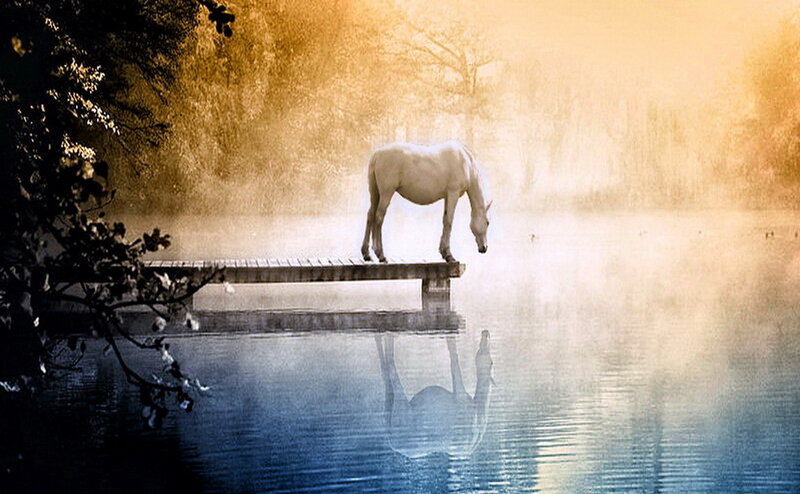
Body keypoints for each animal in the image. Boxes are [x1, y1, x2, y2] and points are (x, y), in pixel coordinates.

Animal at [360, 141, 491, 263]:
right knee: (379, 217)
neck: (466, 164)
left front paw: (443, 252)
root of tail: (377, 154)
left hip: (375, 193)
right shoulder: (453, 194)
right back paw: (381, 255)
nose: (484, 248)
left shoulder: (447, 196)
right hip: (386, 193)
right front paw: (449, 256)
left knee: (370, 215)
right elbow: (449, 221)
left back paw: (366, 254)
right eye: (488, 222)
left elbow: (445, 220)